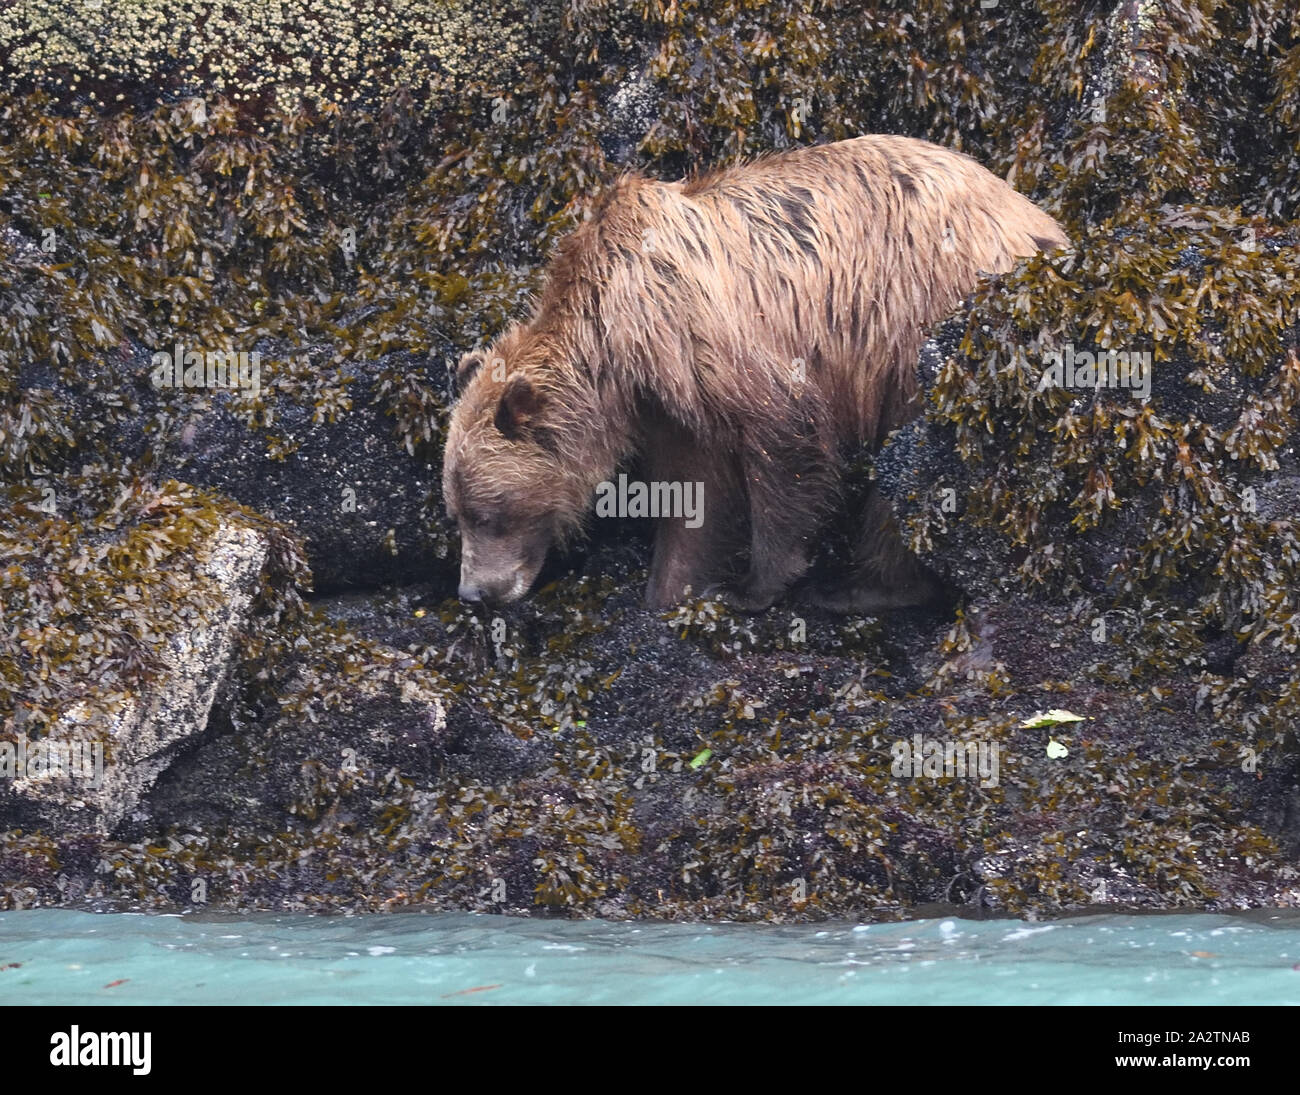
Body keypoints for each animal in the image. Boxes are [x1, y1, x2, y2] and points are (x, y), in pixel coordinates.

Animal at [441, 133, 1060, 611]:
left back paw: (860, 587)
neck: (613, 345)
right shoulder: (667, 397)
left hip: (920, 323)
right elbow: (695, 489)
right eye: (458, 510)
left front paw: (755, 585)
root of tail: (1038, 220)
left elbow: (784, 440)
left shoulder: (703, 335)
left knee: (909, 462)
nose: (473, 592)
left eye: (488, 513)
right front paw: (670, 587)